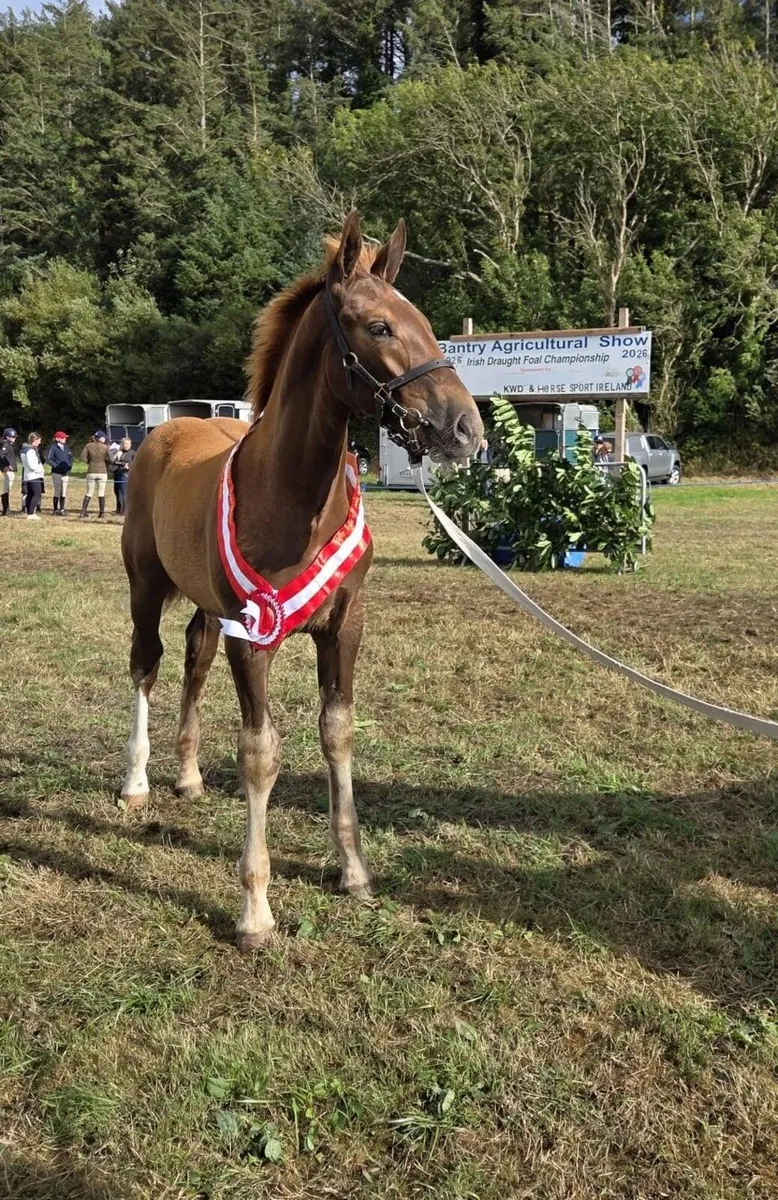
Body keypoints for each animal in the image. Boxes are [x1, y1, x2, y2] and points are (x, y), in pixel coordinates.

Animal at [120, 211, 483, 950]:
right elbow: (261, 754)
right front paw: (255, 911)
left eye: (425, 320)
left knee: (193, 662)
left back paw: (189, 776)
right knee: (146, 665)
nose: (466, 429)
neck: (291, 493)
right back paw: (137, 781)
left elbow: (336, 732)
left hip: (207, 608)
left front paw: (354, 870)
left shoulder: (344, 625)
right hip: (145, 585)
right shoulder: (252, 635)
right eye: (379, 327)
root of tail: (165, 433)